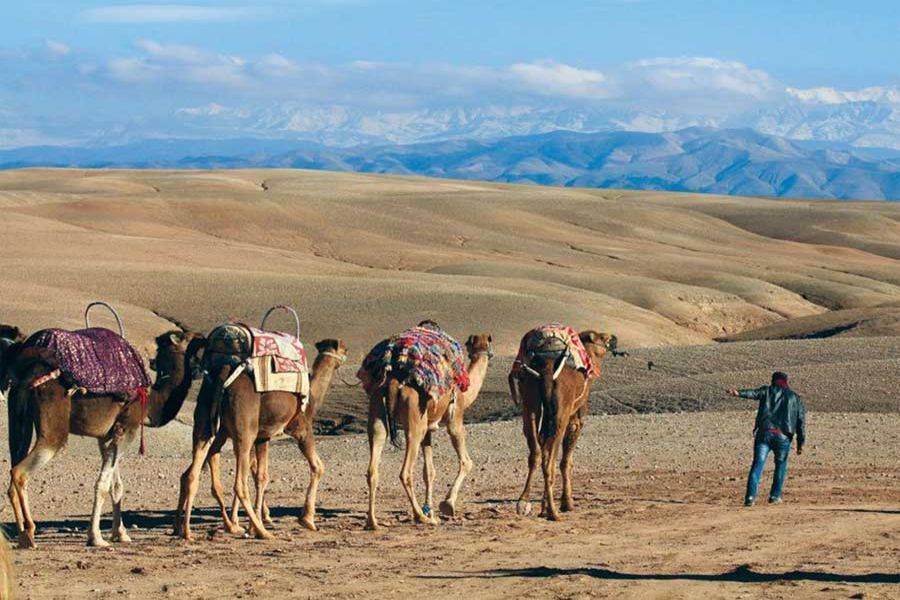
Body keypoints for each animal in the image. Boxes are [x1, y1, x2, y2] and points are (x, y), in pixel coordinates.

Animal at [4, 330, 205, 548]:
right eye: (186, 336)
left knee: (13, 470)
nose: (201, 336)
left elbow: (116, 486)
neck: (152, 401)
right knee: (19, 472)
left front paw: (121, 533)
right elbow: (102, 484)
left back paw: (22, 534)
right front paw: (96, 537)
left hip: (19, 420)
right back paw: (29, 532)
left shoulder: (107, 435)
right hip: (54, 430)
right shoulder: (128, 428)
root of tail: (26, 379)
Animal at [175, 338, 347, 540]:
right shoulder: (301, 429)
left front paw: (253, 523)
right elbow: (318, 467)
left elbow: (261, 477)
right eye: (344, 349)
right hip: (243, 432)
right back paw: (261, 532)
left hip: (206, 426)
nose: (347, 356)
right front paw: (307, 520)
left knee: (191, 474)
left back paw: (185, 530)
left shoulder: (263, 437)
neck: (311, 397)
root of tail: (223, 375)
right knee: (238, 484)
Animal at [365, 333, 493, 530]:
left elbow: (429, 472)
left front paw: (431, 511)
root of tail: (392, 382)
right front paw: (447, 504)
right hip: (414, 422)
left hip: (377, 410)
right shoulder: (455, 419)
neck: (465, 392)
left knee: (373, 466)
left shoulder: (428, 431)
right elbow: (466, 462)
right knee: (405, 472)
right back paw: (421, 517)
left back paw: (373, 522)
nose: (489, 353)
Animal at [510, 330, 616, 521]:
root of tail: (546, 370)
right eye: (603, 338)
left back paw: (524, 502)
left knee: (536, 453)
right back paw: (553, 512)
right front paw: (567, 503)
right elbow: (566, 461)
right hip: (561, 413)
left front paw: (543, 507)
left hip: (530, 404)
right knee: (549, 460)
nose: (614, 338)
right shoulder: (576, 416)